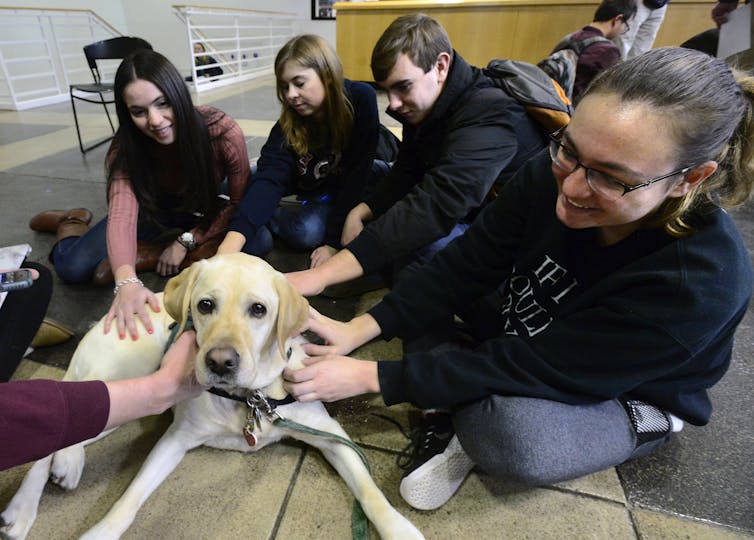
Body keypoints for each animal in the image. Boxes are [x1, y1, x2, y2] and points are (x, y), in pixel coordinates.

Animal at [1, 254, 424, 540]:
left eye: (259, 310)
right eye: (205, 305)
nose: (220, 362)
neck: (248, 398)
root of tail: (108, 316)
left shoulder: (330, 434)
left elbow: (370, 492)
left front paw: (399, 529)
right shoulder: (175, 439)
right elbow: (129, 499)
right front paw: (101, 531)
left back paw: (53, 478)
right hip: (128, 377)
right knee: (56, 428)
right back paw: (29, 502)